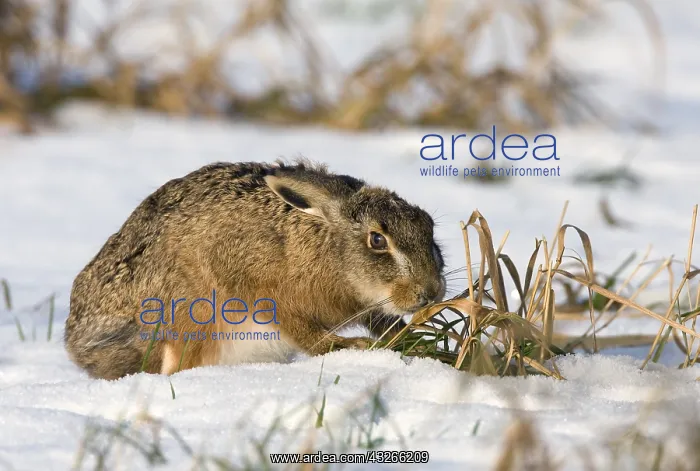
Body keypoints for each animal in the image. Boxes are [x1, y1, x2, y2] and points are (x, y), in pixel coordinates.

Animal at [64, 159, 446, 379]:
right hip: (188, 314)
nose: (430, 291)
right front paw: (351, 347)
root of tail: (77, 344)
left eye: (429, 226)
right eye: (378, 240)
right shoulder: (265, 291)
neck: (327, 243)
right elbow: (304, 332)